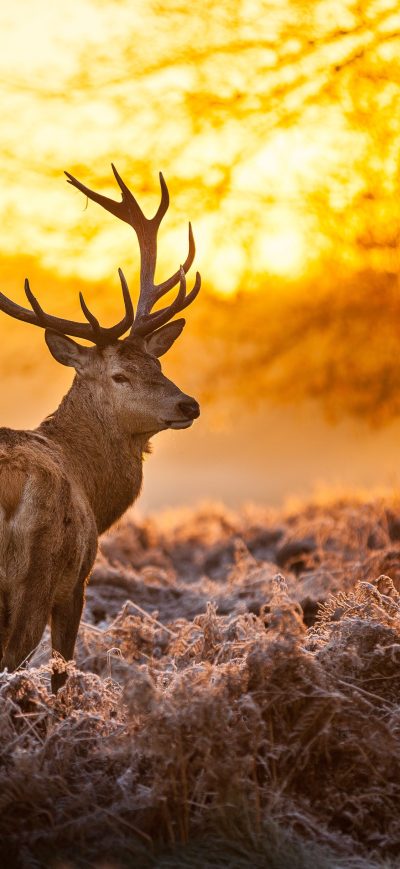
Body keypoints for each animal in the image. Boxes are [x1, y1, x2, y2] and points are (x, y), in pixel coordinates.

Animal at [0, 164, 201, 692]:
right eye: (119, 375)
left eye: (157, 362)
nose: (189, 404)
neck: (93, 489)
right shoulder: (76, 583)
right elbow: (61, 675)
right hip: (33, 574)